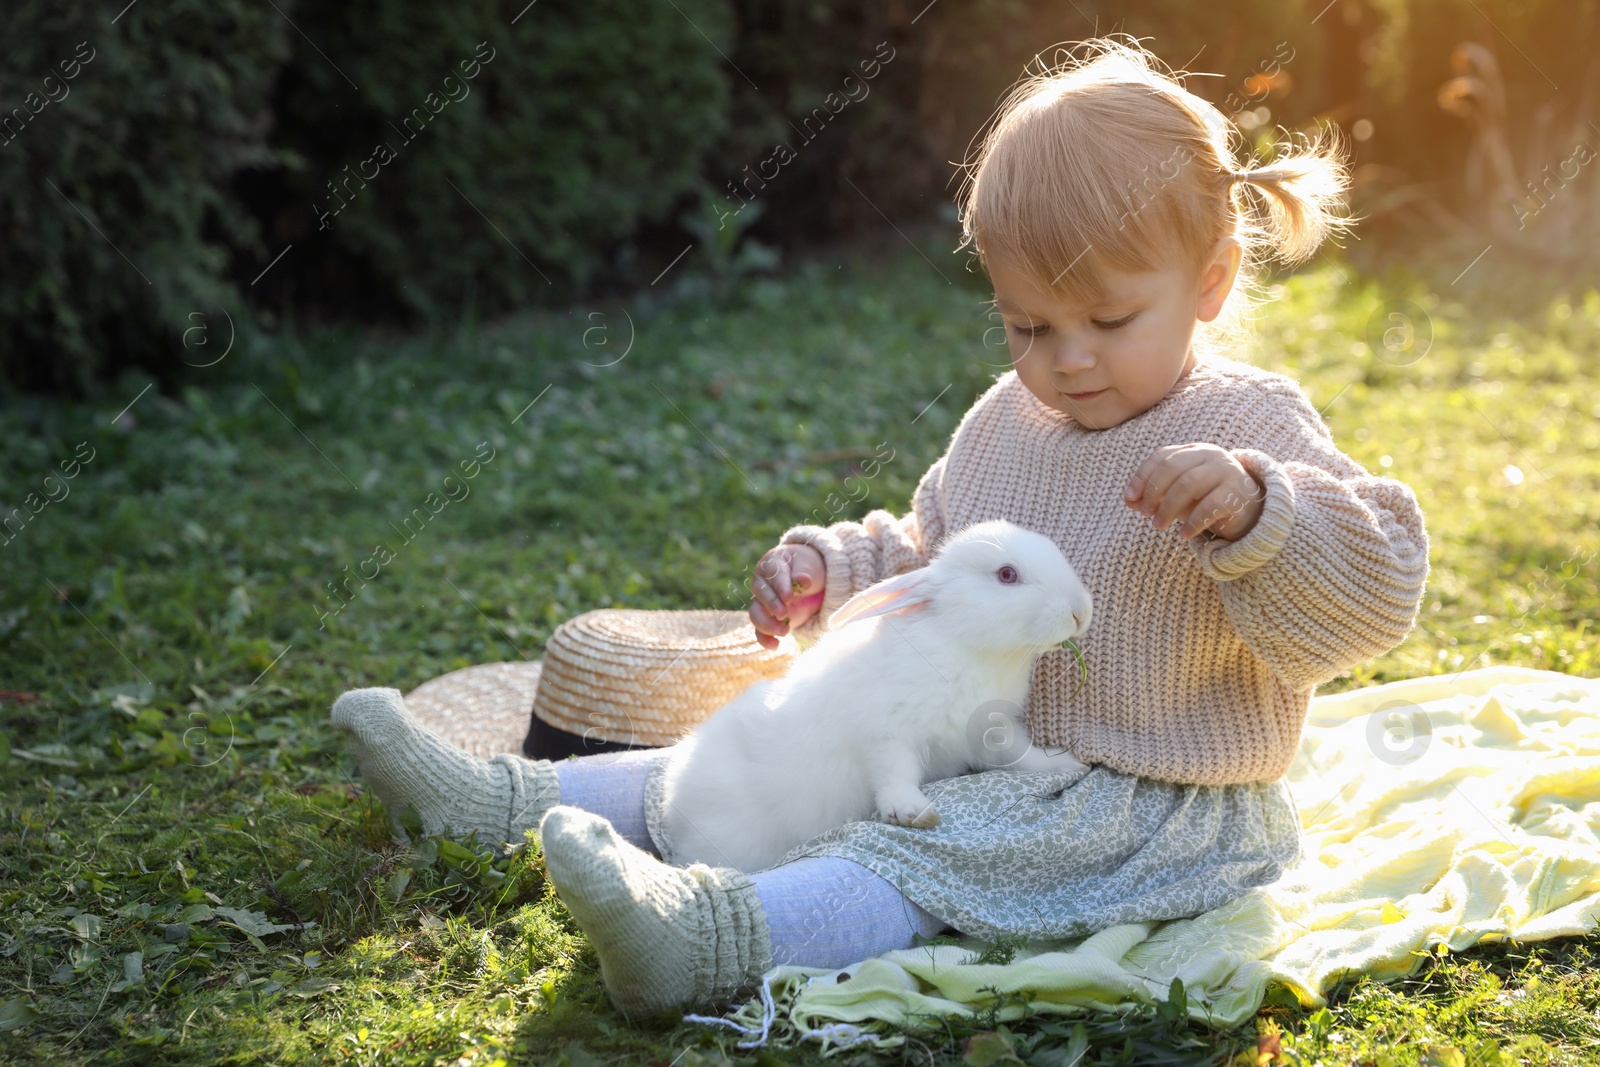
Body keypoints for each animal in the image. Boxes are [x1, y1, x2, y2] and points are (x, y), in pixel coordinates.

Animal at [656, 518, 1094, 876]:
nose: (1080, 611)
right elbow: (894, 773)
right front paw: (912, 813)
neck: (964, 642)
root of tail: (674, 804)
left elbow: (1020, 755)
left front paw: (1061, 763)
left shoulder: (989, 731)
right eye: (1007, 575)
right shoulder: (889, 733)